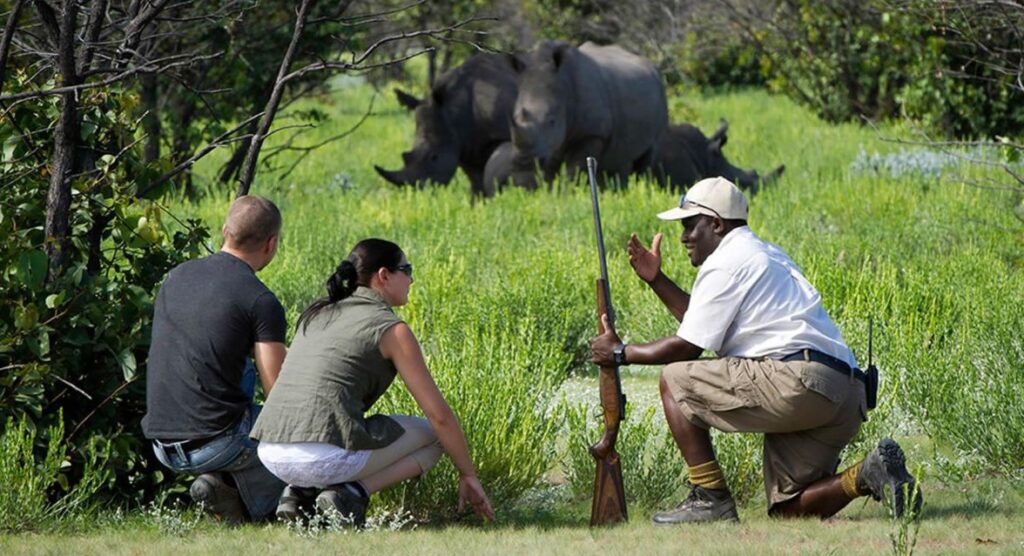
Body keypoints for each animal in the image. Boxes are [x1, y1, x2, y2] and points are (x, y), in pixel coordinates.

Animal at [507, 41, 668, 188]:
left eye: (552, 121)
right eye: (514, 118)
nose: (523, 162)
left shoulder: (592, 134)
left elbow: (575, 170)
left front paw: (570, 192)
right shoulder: (550, 144)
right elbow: (550, 172)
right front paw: (550, 193)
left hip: (660, 97)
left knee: (646, 158)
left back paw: (640, 189)